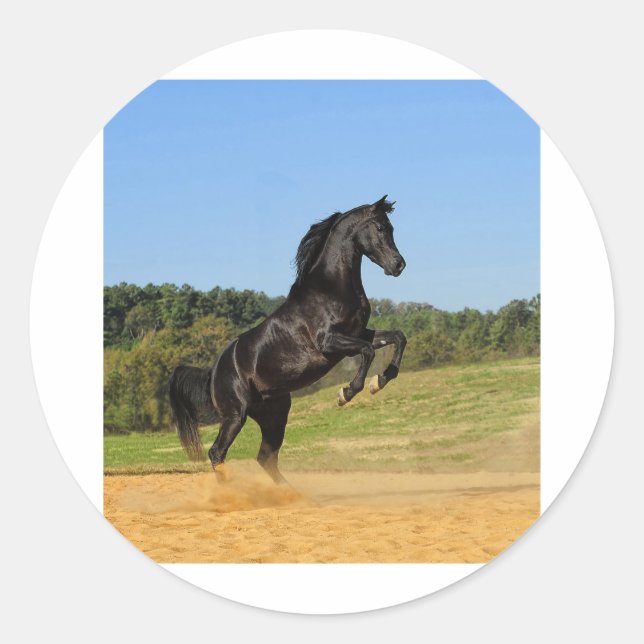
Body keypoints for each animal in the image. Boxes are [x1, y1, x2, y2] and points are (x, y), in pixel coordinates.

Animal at [169, 195, 407, 484]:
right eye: (381, 228)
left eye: (391, 228)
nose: (398, 265)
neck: (330, 288)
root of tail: (212, 373)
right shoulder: (330, 342)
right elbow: (368, 352)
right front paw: (346, 393)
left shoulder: (359, 334)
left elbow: (398, 338)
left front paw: (380, 381)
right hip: (235, 415)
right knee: (217, 452)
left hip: (275, 414)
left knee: (265, 457)